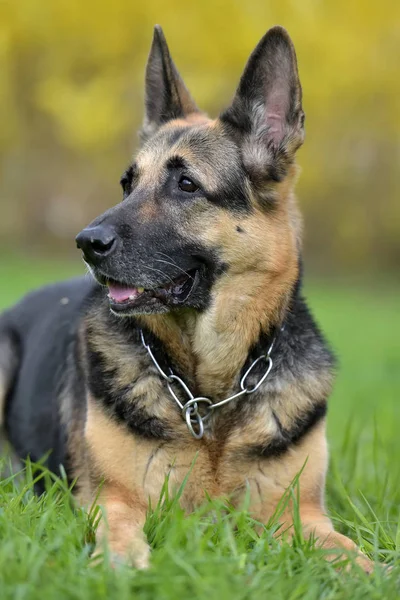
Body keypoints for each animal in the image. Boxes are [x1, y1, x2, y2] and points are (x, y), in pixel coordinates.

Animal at [0, 24, 376, 572]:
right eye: (127, 184)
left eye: (186, 184)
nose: (85, 243)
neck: (209, 394)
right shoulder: (114, 500)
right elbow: (120, 534)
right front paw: (125, 567)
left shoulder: (302, 517)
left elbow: (359, 559)